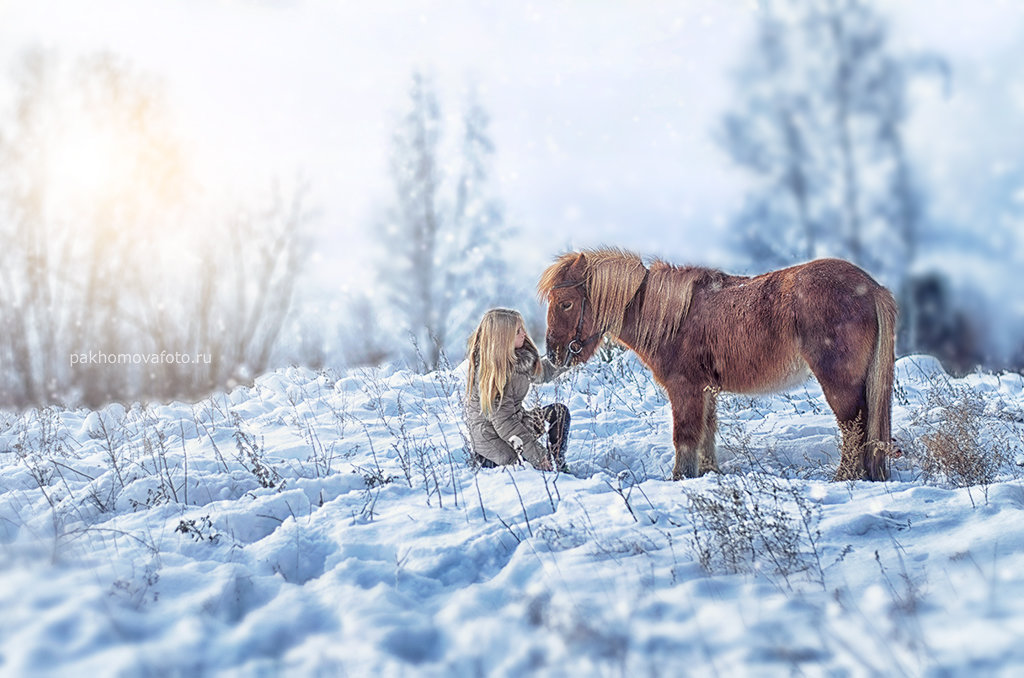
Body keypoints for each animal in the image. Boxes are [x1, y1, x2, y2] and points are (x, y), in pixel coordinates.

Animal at [536, 249, 897, 483]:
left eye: (566, 303)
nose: (554, 354)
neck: (671, 317)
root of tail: (871, 287)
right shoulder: (706, 391)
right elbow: (706, 436)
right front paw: (708, 474)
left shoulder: (686, 389)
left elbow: (685, 437)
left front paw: (680, 478)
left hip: (839, 382)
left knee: (854, 426)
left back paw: (845, 477)